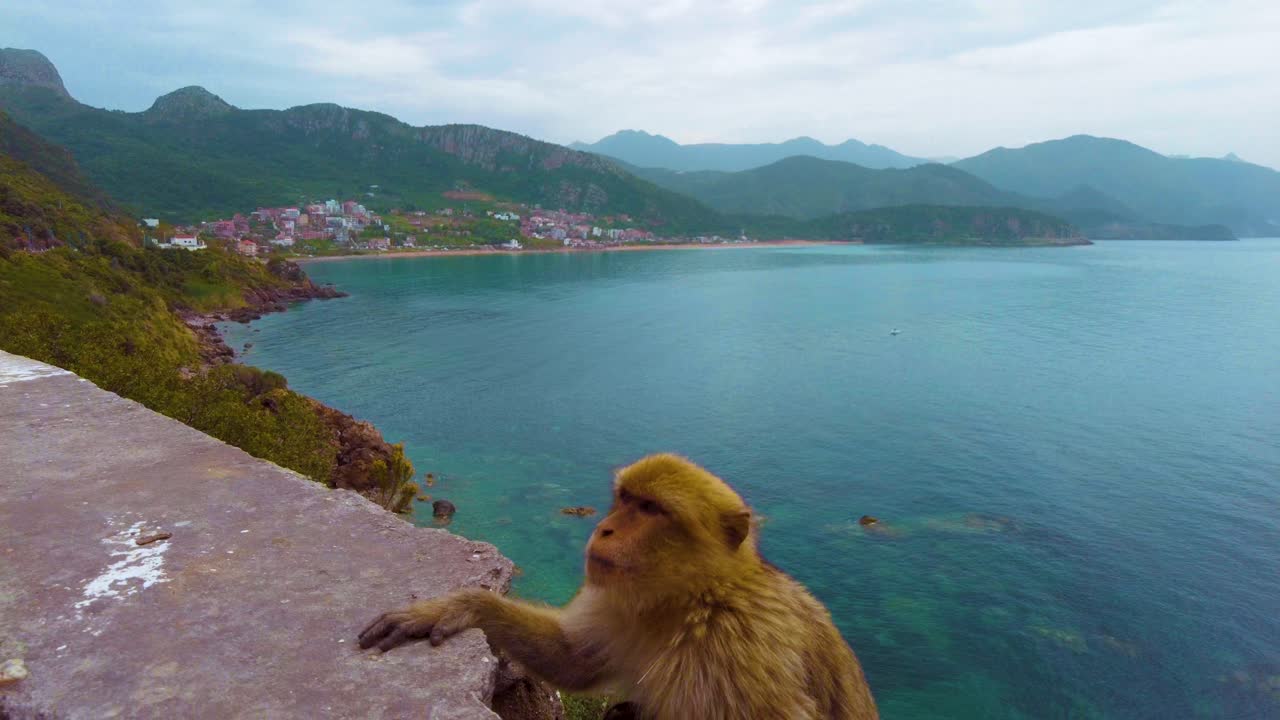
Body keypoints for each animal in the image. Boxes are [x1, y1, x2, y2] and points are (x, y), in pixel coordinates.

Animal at [359, 453, 878, 720]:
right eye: (626, 499)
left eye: (650, 509)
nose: (605, 528)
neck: (692, 600)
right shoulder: (620, 603)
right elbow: (574, 662)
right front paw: (458, 606)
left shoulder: (741, 648)